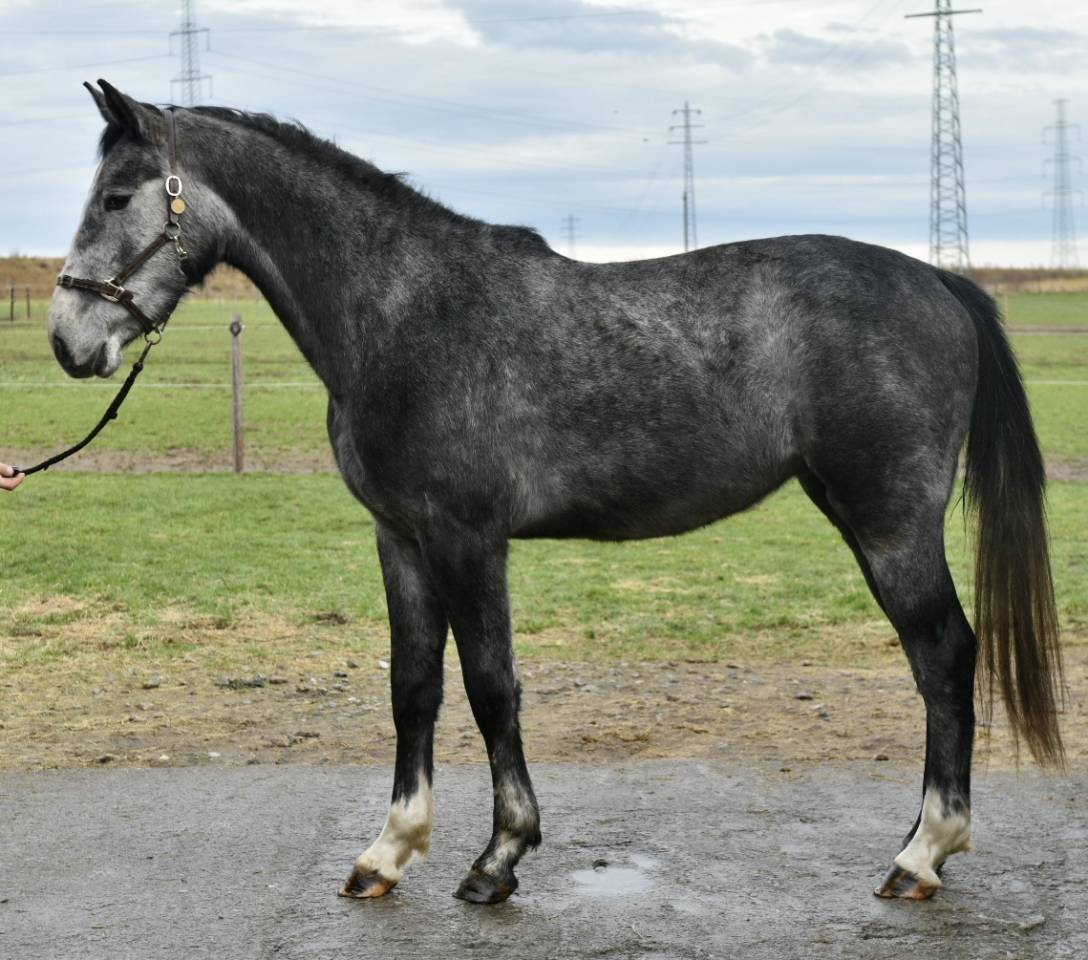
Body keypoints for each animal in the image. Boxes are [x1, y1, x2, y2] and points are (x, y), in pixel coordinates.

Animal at [47, 80, 1064, 905]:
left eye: (117, 196)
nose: (67, 340)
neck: (404, 312)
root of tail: (938, 281)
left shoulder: (467, 539)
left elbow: (491, 687)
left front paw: (499, 858)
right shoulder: (401, 539)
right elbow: (413, 688)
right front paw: (388, 851)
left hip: (889, 524)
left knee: (945, 657)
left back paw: (923, 855)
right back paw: (919, 841)